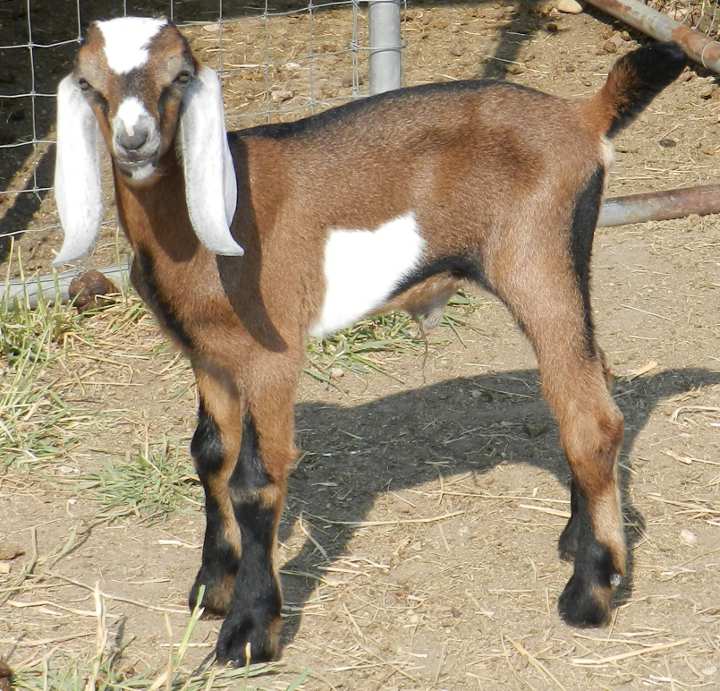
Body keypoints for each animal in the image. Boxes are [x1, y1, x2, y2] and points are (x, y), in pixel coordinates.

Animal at [53, 16, 686, 664]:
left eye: (180, 75)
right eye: (89, 82)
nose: (135, 140)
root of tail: (582, 115)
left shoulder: (272, 354)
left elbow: (255, 481)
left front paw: (249, 633)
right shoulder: (209, 354)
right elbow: (210, 456)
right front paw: (212, 590)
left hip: (537, 259)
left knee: (590, 418)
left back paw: (589, 593)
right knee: (592, 379)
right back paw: (577, 541)